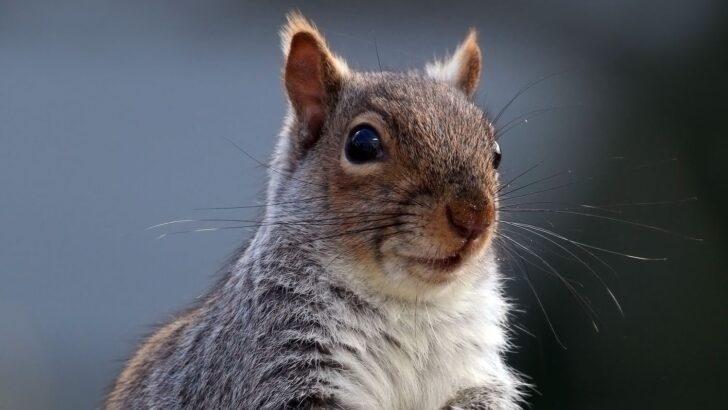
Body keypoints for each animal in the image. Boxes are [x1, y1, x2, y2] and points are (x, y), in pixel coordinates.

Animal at [106, 12, 523, 410]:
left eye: (496, 153)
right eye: (362, 144)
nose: (474, 218)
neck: (412, 307)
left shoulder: (477, 377)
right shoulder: (275, 361)